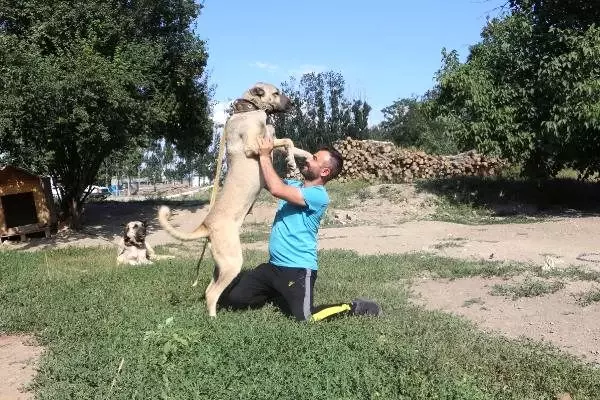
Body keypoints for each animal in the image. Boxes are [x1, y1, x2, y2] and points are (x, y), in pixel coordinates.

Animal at [157, 83, 312, 318]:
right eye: (276, 93)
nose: (293, 103)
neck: (249, 110)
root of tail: (206, 225)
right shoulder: (256, 146)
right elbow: (287, 141)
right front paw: (293, 164)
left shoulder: (272, 140)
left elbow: (294, 145)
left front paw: (305, 160)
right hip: (232, 262)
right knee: (212, 294)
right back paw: (214, 320)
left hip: (220, 265)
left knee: (209, 289)